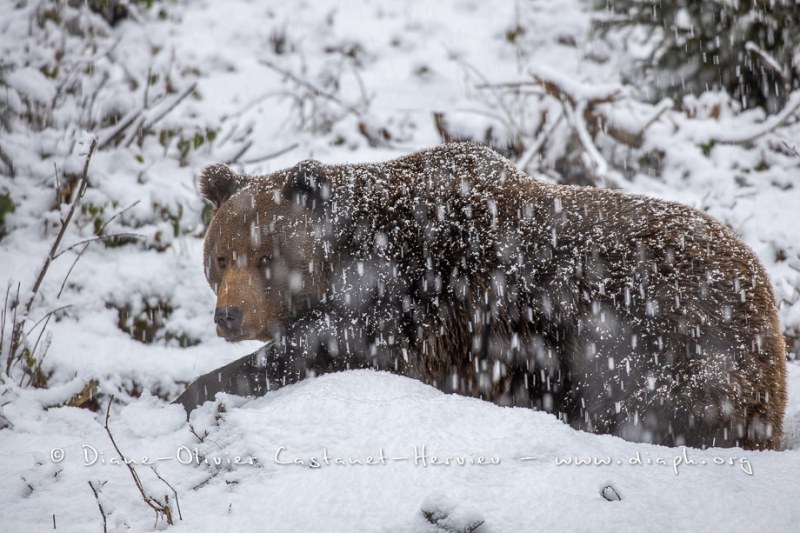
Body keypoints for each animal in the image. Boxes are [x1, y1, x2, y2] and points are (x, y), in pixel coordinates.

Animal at [177, 141, 788, 448]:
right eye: (221, 257)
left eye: (266, 258)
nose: (229, 315)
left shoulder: (416, 299)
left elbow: (320, 351)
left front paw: (196, 390)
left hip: (666, 329)